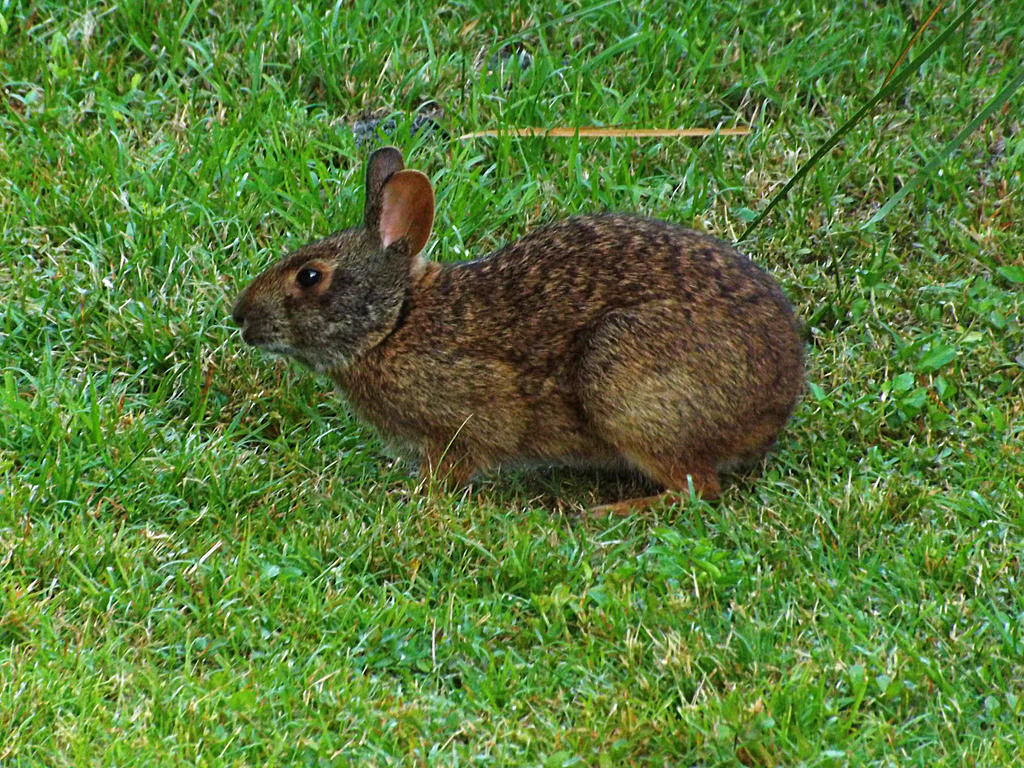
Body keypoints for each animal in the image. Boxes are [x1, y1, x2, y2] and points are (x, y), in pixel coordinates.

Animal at [231, 147, 805, 513]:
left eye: (310, 277)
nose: (240, 317)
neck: (395, 322)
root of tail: (776, 402)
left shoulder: (460, 424)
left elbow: (451, 468)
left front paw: (411, 496)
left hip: (626, 385)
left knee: (697, 488)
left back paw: (607, 513)